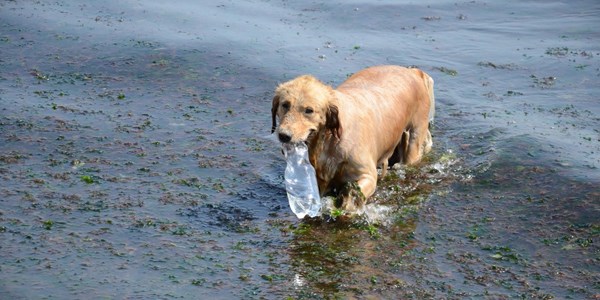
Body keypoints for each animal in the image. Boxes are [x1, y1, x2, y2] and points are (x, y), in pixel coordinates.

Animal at [270, 65, 434, 212]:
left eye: (309, 110)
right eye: (285, 105)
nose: (283, 135)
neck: (330, 139)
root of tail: (413, 71)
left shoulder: (368, 175)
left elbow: (353, 194)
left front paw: (346, 203)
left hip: (414, 137)